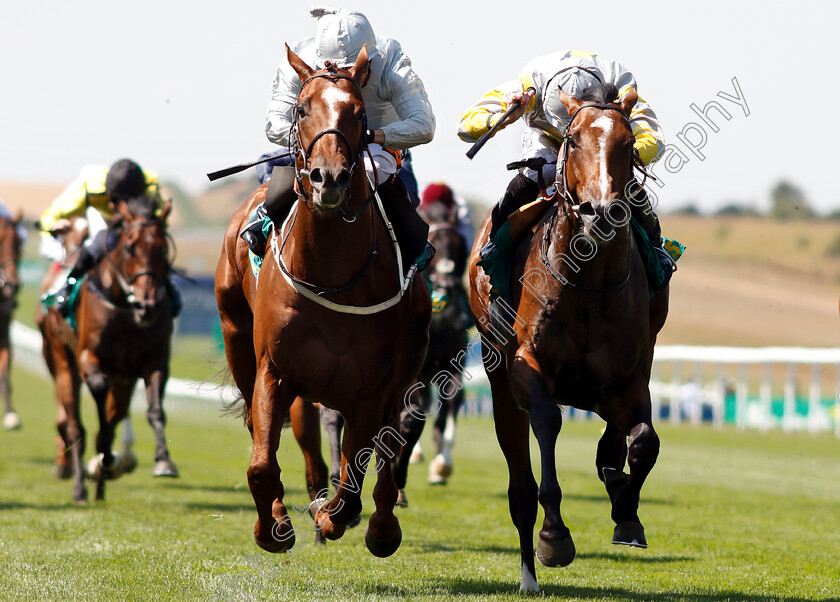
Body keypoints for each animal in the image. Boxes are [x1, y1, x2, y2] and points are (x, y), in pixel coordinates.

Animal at [40, 198, 178, 502]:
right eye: (130, 247)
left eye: (163, 249)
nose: (147, 305)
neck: (125, 308)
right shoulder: (89, 360)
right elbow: (99, 408)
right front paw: (103, 457)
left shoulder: (153, 363)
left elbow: (155, 410)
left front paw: (163, 461)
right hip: (62, 360)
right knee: (74, 425)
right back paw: (81, 487)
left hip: (123, 380)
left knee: (115, 416)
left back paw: (101, 483)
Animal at [213, 44, 430, 556]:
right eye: (299, 109)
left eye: (359, 114)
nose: (327, 178)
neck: (331, 274)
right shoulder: (274, 370)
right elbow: (261, 462)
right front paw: (274, 526)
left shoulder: (369, 389)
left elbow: (355, 474)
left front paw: (337, 517)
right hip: (237, 339)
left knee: (388, 446)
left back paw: (377, 524)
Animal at [470, 83, 672, 592]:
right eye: (574, 139)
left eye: (627, 142)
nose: (600, 210)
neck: (588, 280)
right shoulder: (528, 369)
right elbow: (547, 424)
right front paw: (554, 537)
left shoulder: (629, 378)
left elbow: (644, 442)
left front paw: (627, 513)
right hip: (499, 382)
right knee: (519, 485)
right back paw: (529, 574)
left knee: (615, 442)